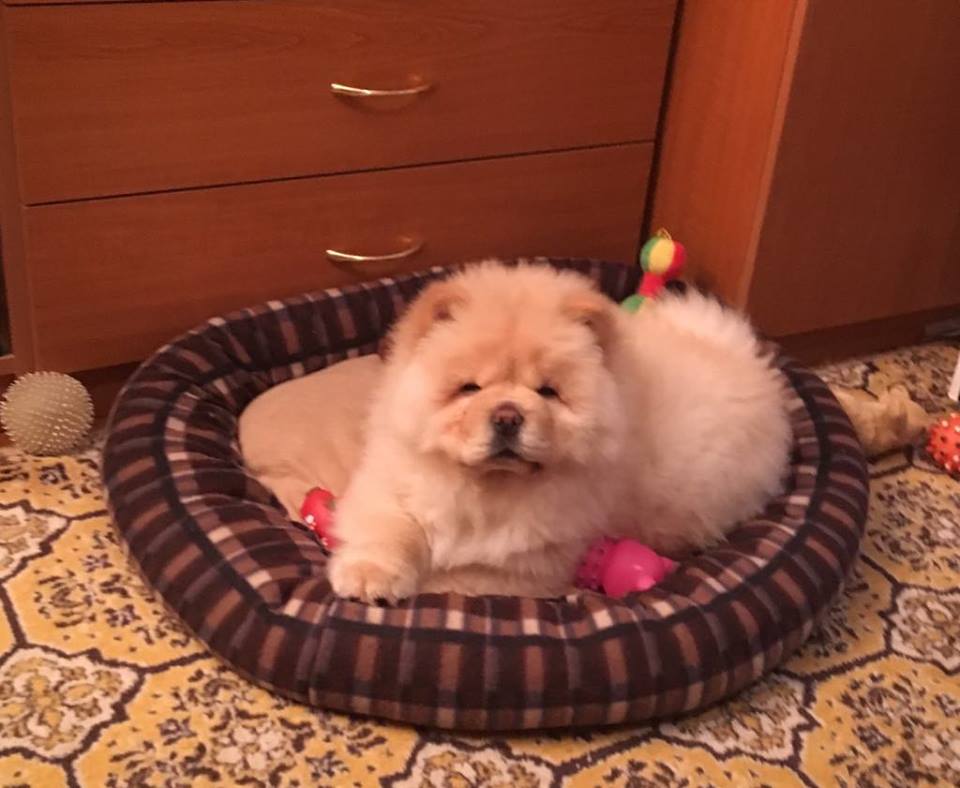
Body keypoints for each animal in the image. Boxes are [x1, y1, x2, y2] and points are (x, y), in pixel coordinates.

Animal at [327, 262, 792, 602]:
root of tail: (747, 358)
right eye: (469, 389)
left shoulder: (528, 564)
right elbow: (388, 530)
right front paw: (369, 579)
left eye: (547, 392)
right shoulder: (392, 485)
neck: (485, 490)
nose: (508, 415)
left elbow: (458, 580)